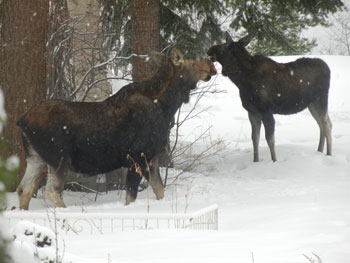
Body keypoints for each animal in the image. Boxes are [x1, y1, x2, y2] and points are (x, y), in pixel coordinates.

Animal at [17, 49, 217, 210]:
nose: (211, 66)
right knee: (51, 191)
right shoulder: (137, 158)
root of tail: (22, 121)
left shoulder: (152, 159)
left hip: (35, 158)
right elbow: (131, 197)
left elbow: (159, 190)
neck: (167, 107)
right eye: (191, 63)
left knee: (23, 189)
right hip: (59, 159)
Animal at [206, 32, 332, 162]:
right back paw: (319, 151)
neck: (242, 81)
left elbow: (270, 139)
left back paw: (329, 154)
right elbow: (255, 138)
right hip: (311, 104)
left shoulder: (266, 110)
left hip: (320, 99)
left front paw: (274, 161)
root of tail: (327, 68)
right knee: (321, 124)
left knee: (327, 124)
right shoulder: (252, 111)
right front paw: (255, 161)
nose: (209, 49)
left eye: (225, 45)